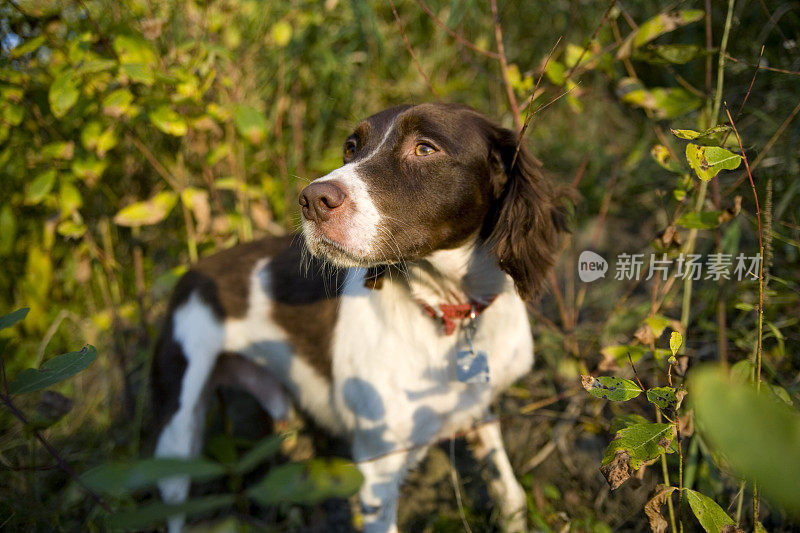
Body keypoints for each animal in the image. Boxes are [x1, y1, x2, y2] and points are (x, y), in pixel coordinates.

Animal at [153, 102, 564, 528]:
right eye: (350, 148)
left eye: (425, 148)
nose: (311, 200)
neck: (447, 310)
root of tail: (192, 270)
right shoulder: (377, 467)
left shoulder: (477, 406)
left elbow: (509, 492)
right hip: (177, 430)